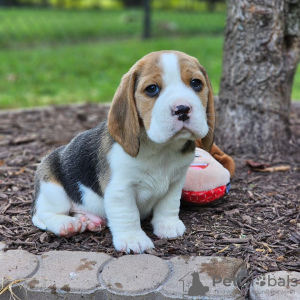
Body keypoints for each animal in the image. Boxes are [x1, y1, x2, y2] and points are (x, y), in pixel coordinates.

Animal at [31, 51, 214, 253]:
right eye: (152, 89)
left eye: (196, 83)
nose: (182, 109)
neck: (161, 149)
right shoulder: (120, 189)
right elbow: (127, 214)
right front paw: (133, 240)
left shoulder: (176, 181)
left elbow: (169, 204)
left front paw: (168, 225)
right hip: (51, 187)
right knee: (42, 215)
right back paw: (67, 224)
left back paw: (89, 220)